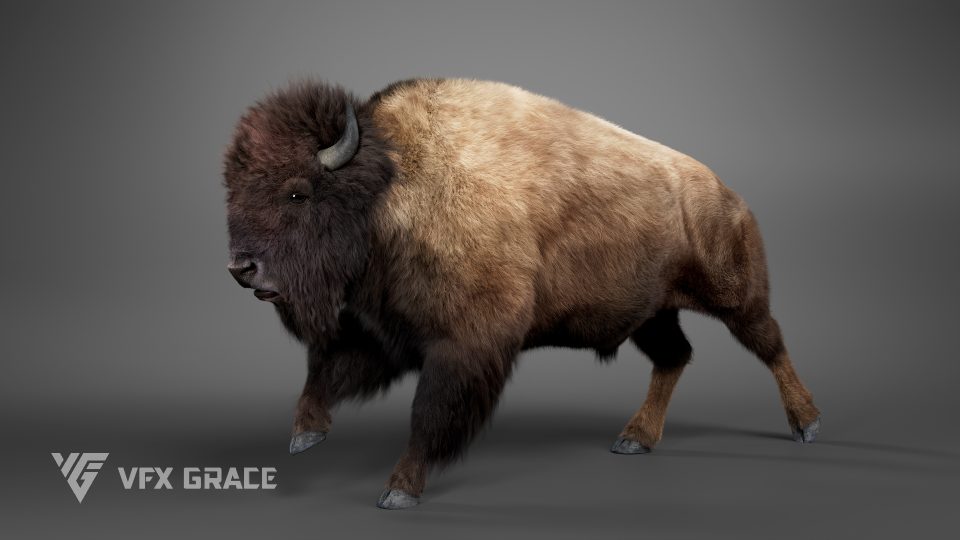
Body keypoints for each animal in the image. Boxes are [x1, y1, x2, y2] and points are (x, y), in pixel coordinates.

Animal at [223, 78, 821, 509]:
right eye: (233, 190)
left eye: (297, 193)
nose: (240, 268)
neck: (391, 186)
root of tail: (728, 195)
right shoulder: (381, 331)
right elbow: (325, 373)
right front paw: (305, 435)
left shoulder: (466, 344)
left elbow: (430, 413)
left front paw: (399, 489)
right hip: (653, 314)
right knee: (675, 357)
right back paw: (634, 439)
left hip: (735, 295)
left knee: (770, 344)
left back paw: (807, 424)